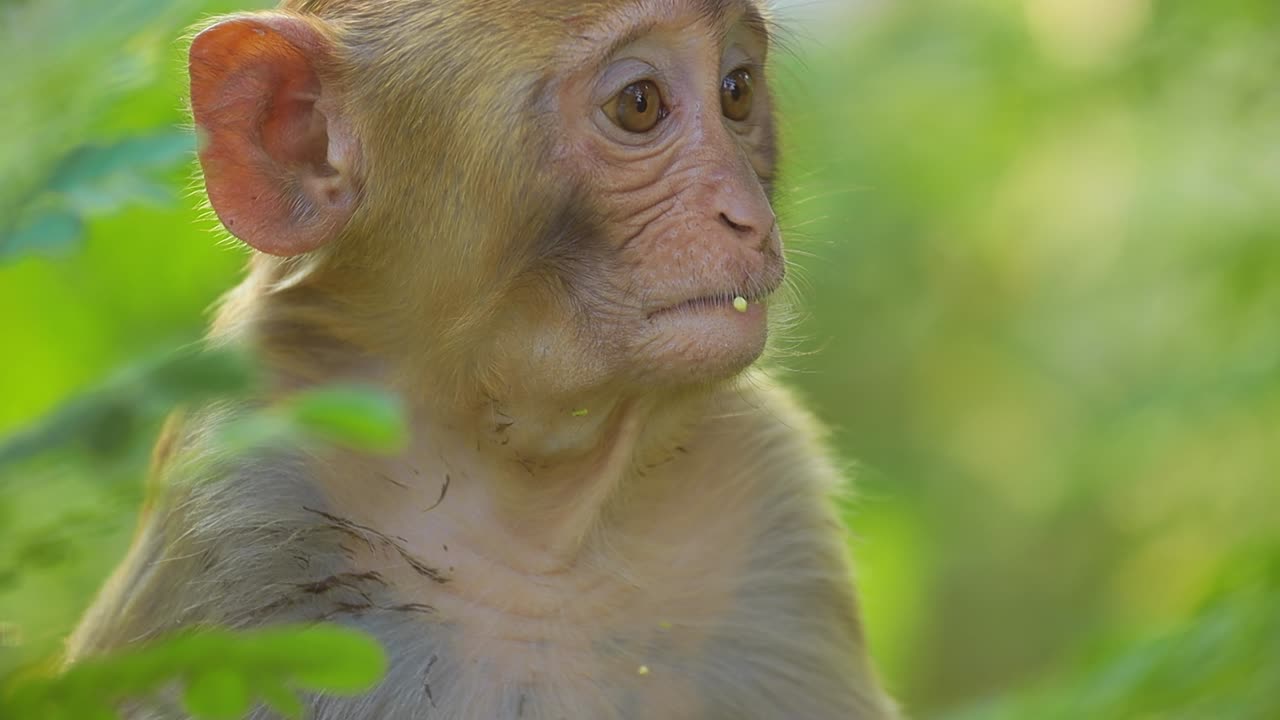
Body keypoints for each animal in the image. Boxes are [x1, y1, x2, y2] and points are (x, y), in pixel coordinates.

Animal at [66, 1, 898, 718]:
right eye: (639, 103)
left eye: (737, 90)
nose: (749, 218)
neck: (527, 514)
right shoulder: (242, 527)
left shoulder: (766, 491)